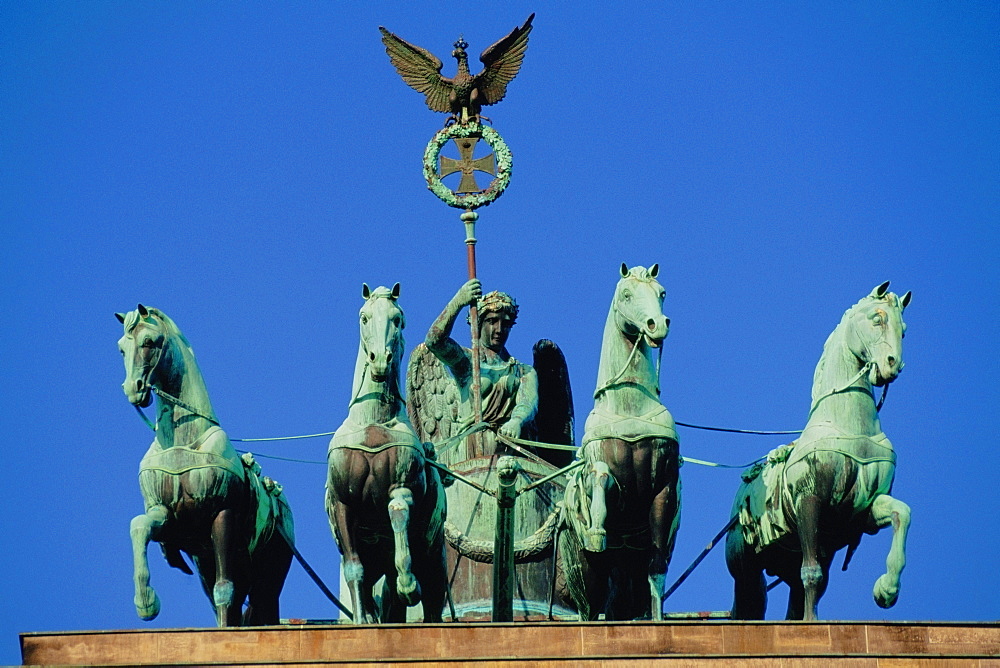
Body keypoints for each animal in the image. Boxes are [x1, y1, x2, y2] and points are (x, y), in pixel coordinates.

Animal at [118, 306, 292, 628]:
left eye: (149, 341)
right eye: (121, 347)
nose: (132, 390)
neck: (182, 442)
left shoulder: (222, 514)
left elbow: (224, 587)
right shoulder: (166, 515)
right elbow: (139, 525)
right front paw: (146, 603)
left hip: (268, 574)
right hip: (208, 564)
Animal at [564, 264, 680, 620]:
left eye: (662, 292)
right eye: (627, 294)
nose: (657, 324)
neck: (630, 408)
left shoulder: (664, 488)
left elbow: (656, 570)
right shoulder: (602, 469)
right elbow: (601, 477)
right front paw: (597, 528)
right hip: (585, 572)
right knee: (590, 605)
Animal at [728, 282, 916, 620]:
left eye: (904, 330)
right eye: (877, 318)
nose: (892, 365)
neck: (847, 425)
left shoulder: (861, 511)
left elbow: (902, 513)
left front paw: (887, 589)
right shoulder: (809, 501)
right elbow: (812, 572)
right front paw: (813, 623)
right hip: (746, 566)